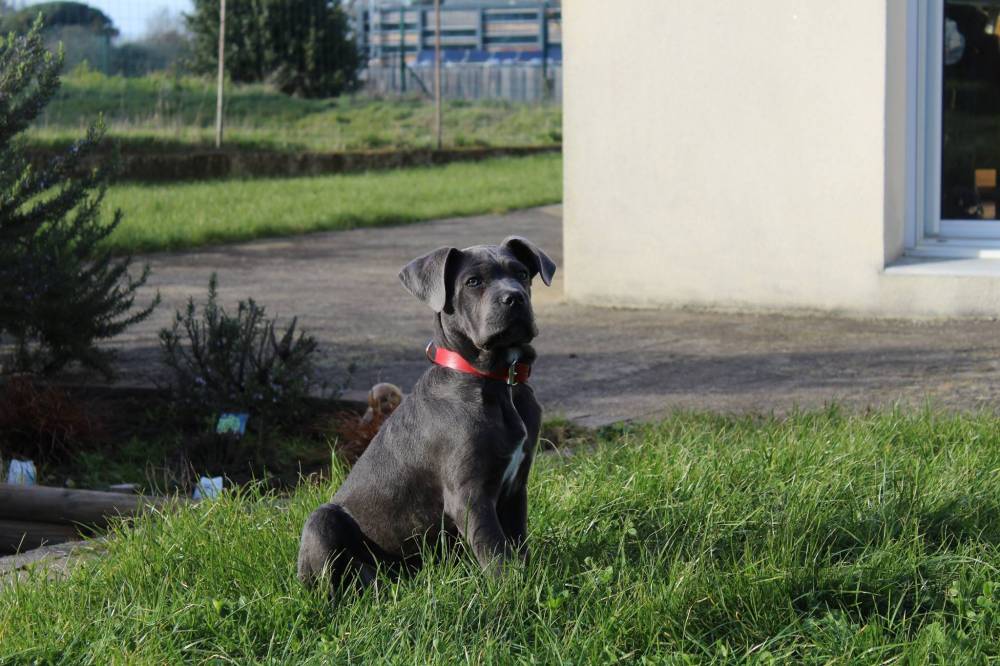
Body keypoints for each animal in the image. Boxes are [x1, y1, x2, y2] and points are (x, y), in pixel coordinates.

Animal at [296, 233, 560, 592]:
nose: (514, 298)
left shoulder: (516, 488)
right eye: (473, 282)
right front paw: (513, 590)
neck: (498, 382)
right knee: (326, 584)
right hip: (321, 521)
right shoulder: (469, 495)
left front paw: (531, 577)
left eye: (521, 273)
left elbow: (518, 541)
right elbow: (495, 550)